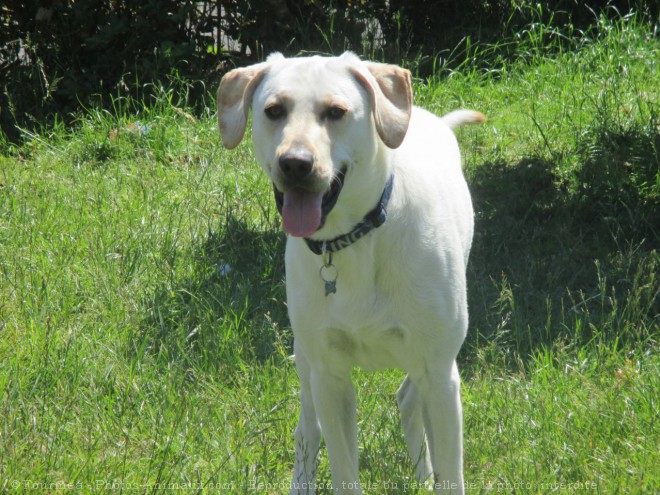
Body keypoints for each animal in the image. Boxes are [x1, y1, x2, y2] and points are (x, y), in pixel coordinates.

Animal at [219, 51, 482, 495]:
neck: (352, 240)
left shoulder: (439, 371)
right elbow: (341, 467)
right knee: (306, 431)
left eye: (336, 112)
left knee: (409, 399)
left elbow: (451, 472)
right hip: (307, 363)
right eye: (274, 110)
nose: (295, 163)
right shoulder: (330, 377)